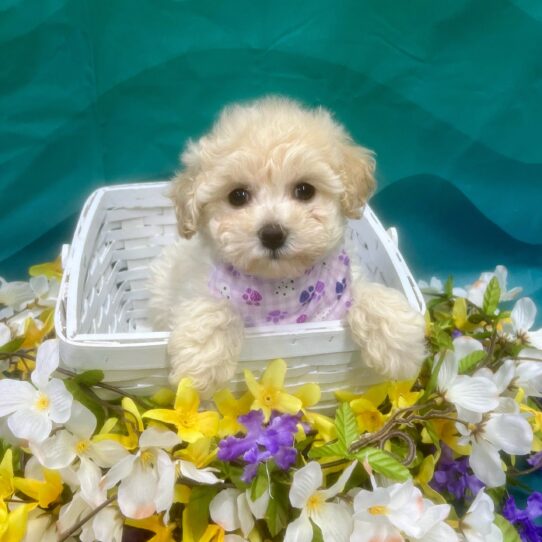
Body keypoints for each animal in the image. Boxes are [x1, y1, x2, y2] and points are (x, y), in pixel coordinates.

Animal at [148, 96, 424, 396]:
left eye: (304, 190)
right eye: (237, 196)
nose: (272, 234)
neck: (282, 289)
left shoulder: (340, 288)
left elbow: (367, 293)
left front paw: (398, 343)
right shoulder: (196, 289)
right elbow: (214, 309)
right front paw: (200, 366)